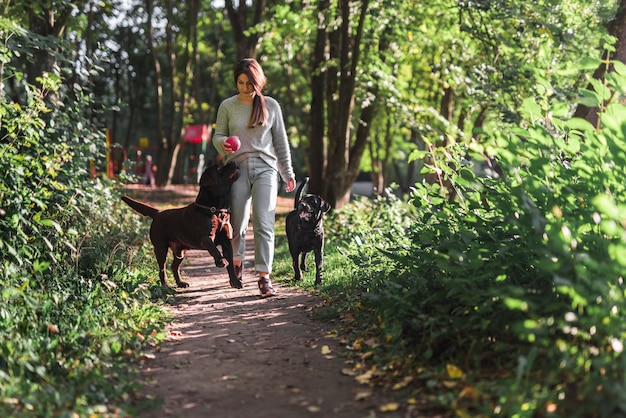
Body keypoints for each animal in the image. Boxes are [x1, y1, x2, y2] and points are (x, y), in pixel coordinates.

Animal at [120, 162, 241, 290]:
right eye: (219, 169)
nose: (235, 162)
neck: (216, 210)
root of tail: (158, 213)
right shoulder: (207, 237)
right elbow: (214, 249)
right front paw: (221, 261)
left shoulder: (227, 240)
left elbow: (231, 265)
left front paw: (235, 282)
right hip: (160, 247)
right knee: (162, 268)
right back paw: (166, 285)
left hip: (180, 252)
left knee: (174, 266)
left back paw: (180, 283)